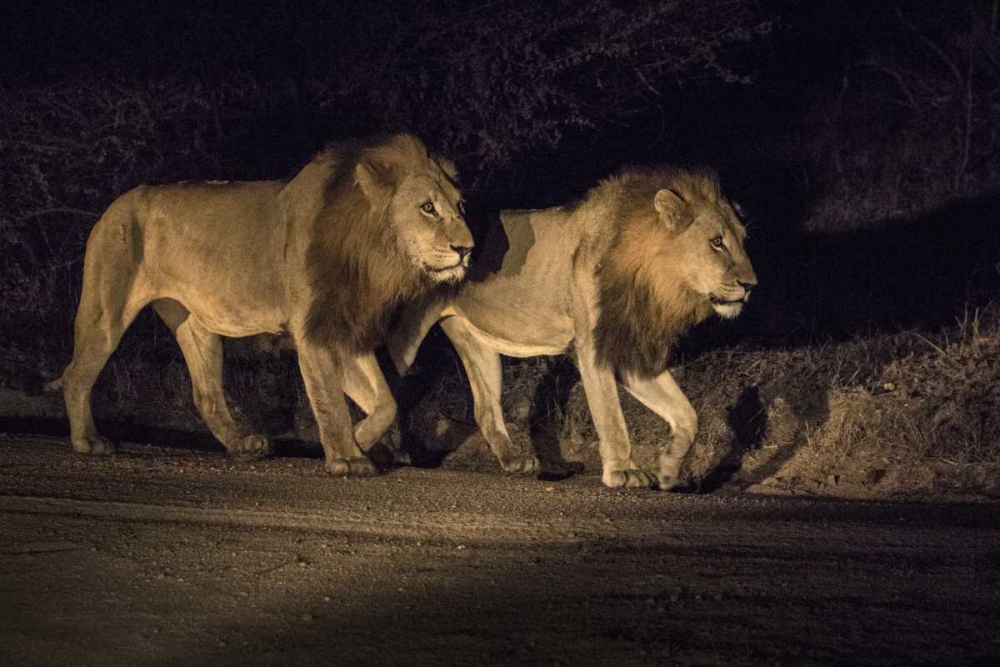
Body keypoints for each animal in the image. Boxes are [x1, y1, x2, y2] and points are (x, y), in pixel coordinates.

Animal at [59, 133, 473, 476]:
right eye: (427, 208)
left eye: (460, 206)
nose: (466, 249)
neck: (375, 254)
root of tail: (116, 203)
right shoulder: (313, 330)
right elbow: (330, 400)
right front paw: (347, 457)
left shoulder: (344, 326)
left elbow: (386, 403)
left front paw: (362, 440)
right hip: (106, 310)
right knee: (75, 374)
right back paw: (88, 441)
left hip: (195, 325)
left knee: (206, 394)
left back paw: (243, 446)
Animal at [389, 166, 756, 489]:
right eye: (716, 242)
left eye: (742, 240)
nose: (751, 285)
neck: (654, 282)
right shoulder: (592, 348)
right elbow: (611, 417)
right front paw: (623, 472)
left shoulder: (628, 347)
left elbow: (688, 415)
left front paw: (667, 469)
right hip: (403, 336)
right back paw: (387, 451)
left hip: (476, 343)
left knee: (485, 409)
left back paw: (514, 461)